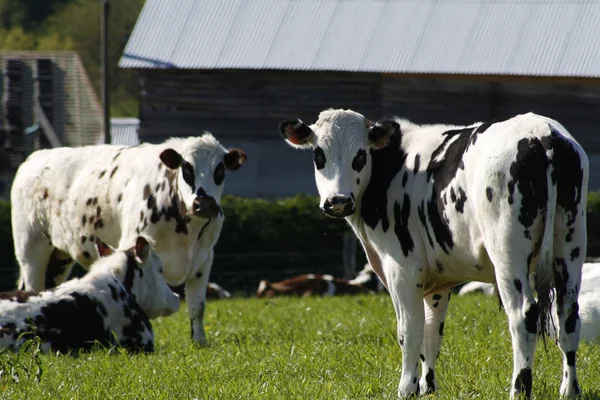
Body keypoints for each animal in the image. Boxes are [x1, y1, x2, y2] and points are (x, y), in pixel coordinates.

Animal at [9, 133, 244, 346]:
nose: (203, 204)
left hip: (59, 258)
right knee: (32, 286)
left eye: (220, 170)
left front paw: (199, 342)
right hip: (31, 251)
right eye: (187, 168)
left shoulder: (203, 259)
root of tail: (34, 158)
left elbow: (198, 306)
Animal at [278, 108, 588, 398]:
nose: (338, 201)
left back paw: (519, 389)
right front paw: (428, 387)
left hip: (508, 253)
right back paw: (569, 389)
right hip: (570, 246)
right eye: (319, 155)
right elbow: (431, 335)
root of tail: (542, 132)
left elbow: (409, 332)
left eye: (360, 156)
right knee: (568, 315)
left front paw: (406, 388)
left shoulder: (402, 272)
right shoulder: (438, 283)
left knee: (523, 315)